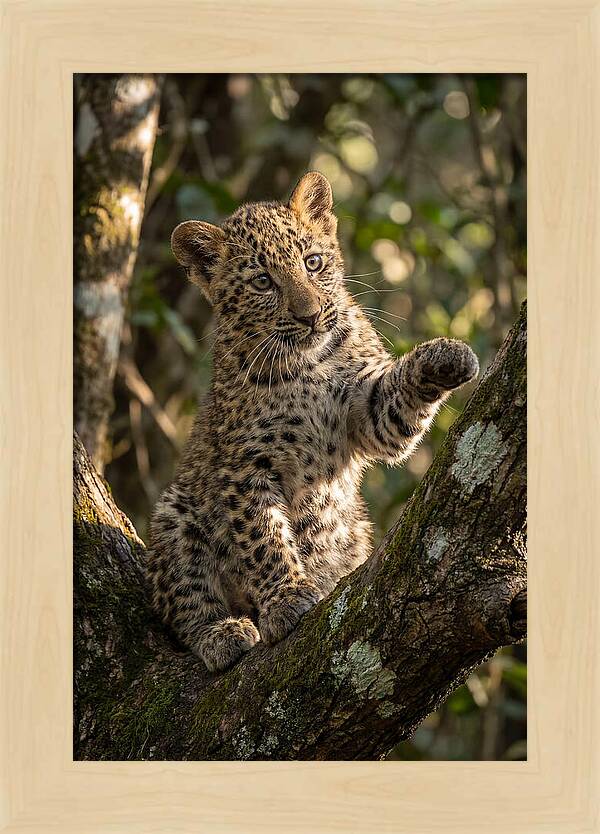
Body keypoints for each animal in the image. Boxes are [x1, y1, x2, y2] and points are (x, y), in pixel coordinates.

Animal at [146, 172, 479, 672]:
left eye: (313, 262)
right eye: (263, 281)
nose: (310, 315)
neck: (308, 365)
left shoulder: (367, 414)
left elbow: (394, 403)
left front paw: (446, 356)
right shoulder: (246, 467)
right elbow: (263, 537)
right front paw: (286, 599)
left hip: (355, 530)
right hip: (175, 513)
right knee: (183, 605)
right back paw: (222, 633)